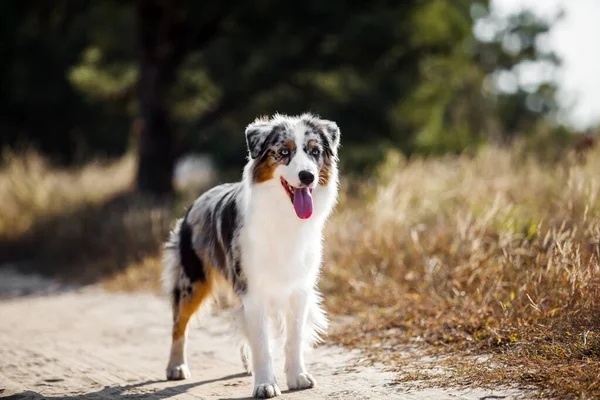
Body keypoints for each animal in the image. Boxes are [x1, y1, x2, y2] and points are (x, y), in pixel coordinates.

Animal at [162, 111, 340, 396]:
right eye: (283, 152)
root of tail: (197, 200)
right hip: (192, 279)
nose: (307, 176)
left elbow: (293, 337)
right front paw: (265, 384)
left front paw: (297, 376)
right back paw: (176, 367)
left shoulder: (299, 288)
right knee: (179, 323)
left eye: (315, 152)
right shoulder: (252, 288)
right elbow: (262, 343)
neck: (283, 215)